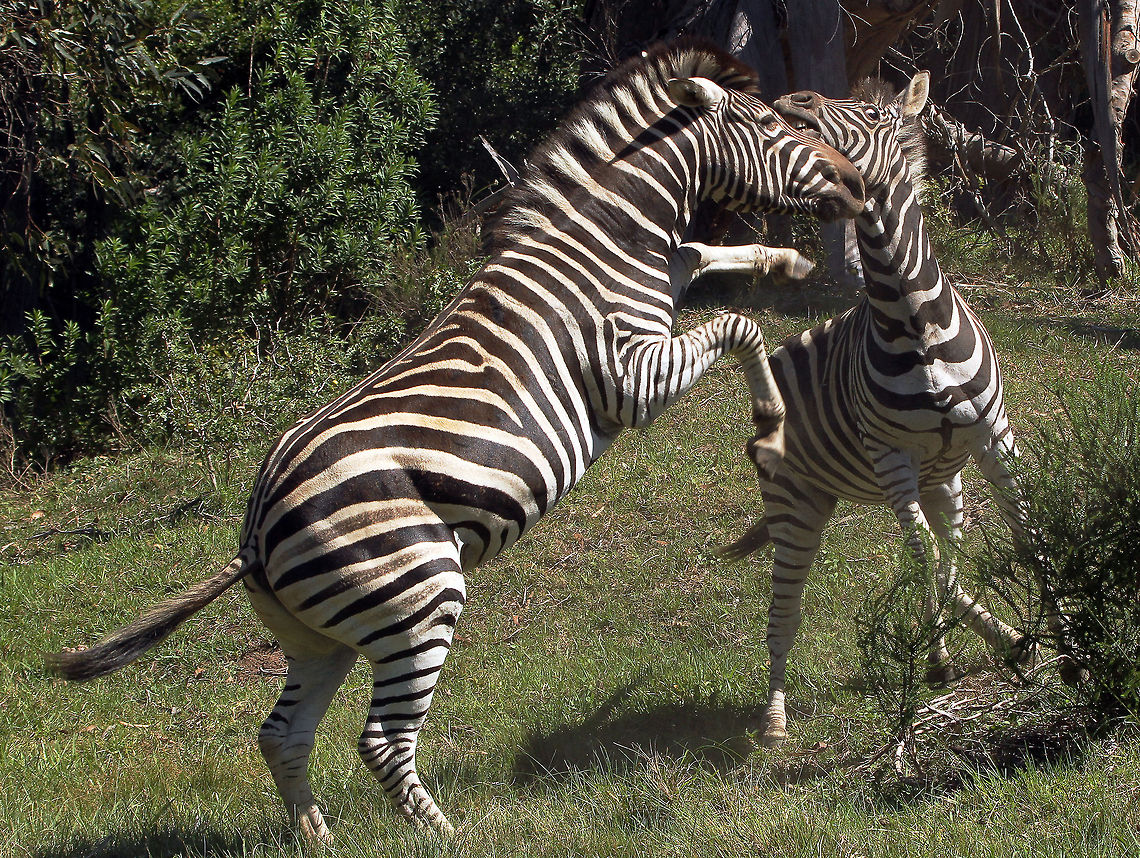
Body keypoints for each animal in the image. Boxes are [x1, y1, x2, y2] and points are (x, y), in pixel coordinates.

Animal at [45, 41, 865, 838]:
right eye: (768, 127)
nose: (855, 183)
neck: (608, 244)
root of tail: (253, 533)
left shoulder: (665, 286)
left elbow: (704, 258)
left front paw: (786, 261)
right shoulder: (629, 377)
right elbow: (739, 324)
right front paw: (770, 415)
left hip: (324, 639)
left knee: (282, 736)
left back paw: (320, 837)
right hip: (420, 596)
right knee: (381, 740)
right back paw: (446, 834)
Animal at [700, 72, 1040, 746]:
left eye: (877, 116)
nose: (798, 100)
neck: (914, 319)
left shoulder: (992, 437)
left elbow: (1017, 533)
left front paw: (1060, 624)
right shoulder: (892, 460)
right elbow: (921, 558)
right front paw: (974, 649)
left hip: (943, 484)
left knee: (949, 561)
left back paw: (975, 646)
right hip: (796, 504)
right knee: (786, 609)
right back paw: (774, 718)